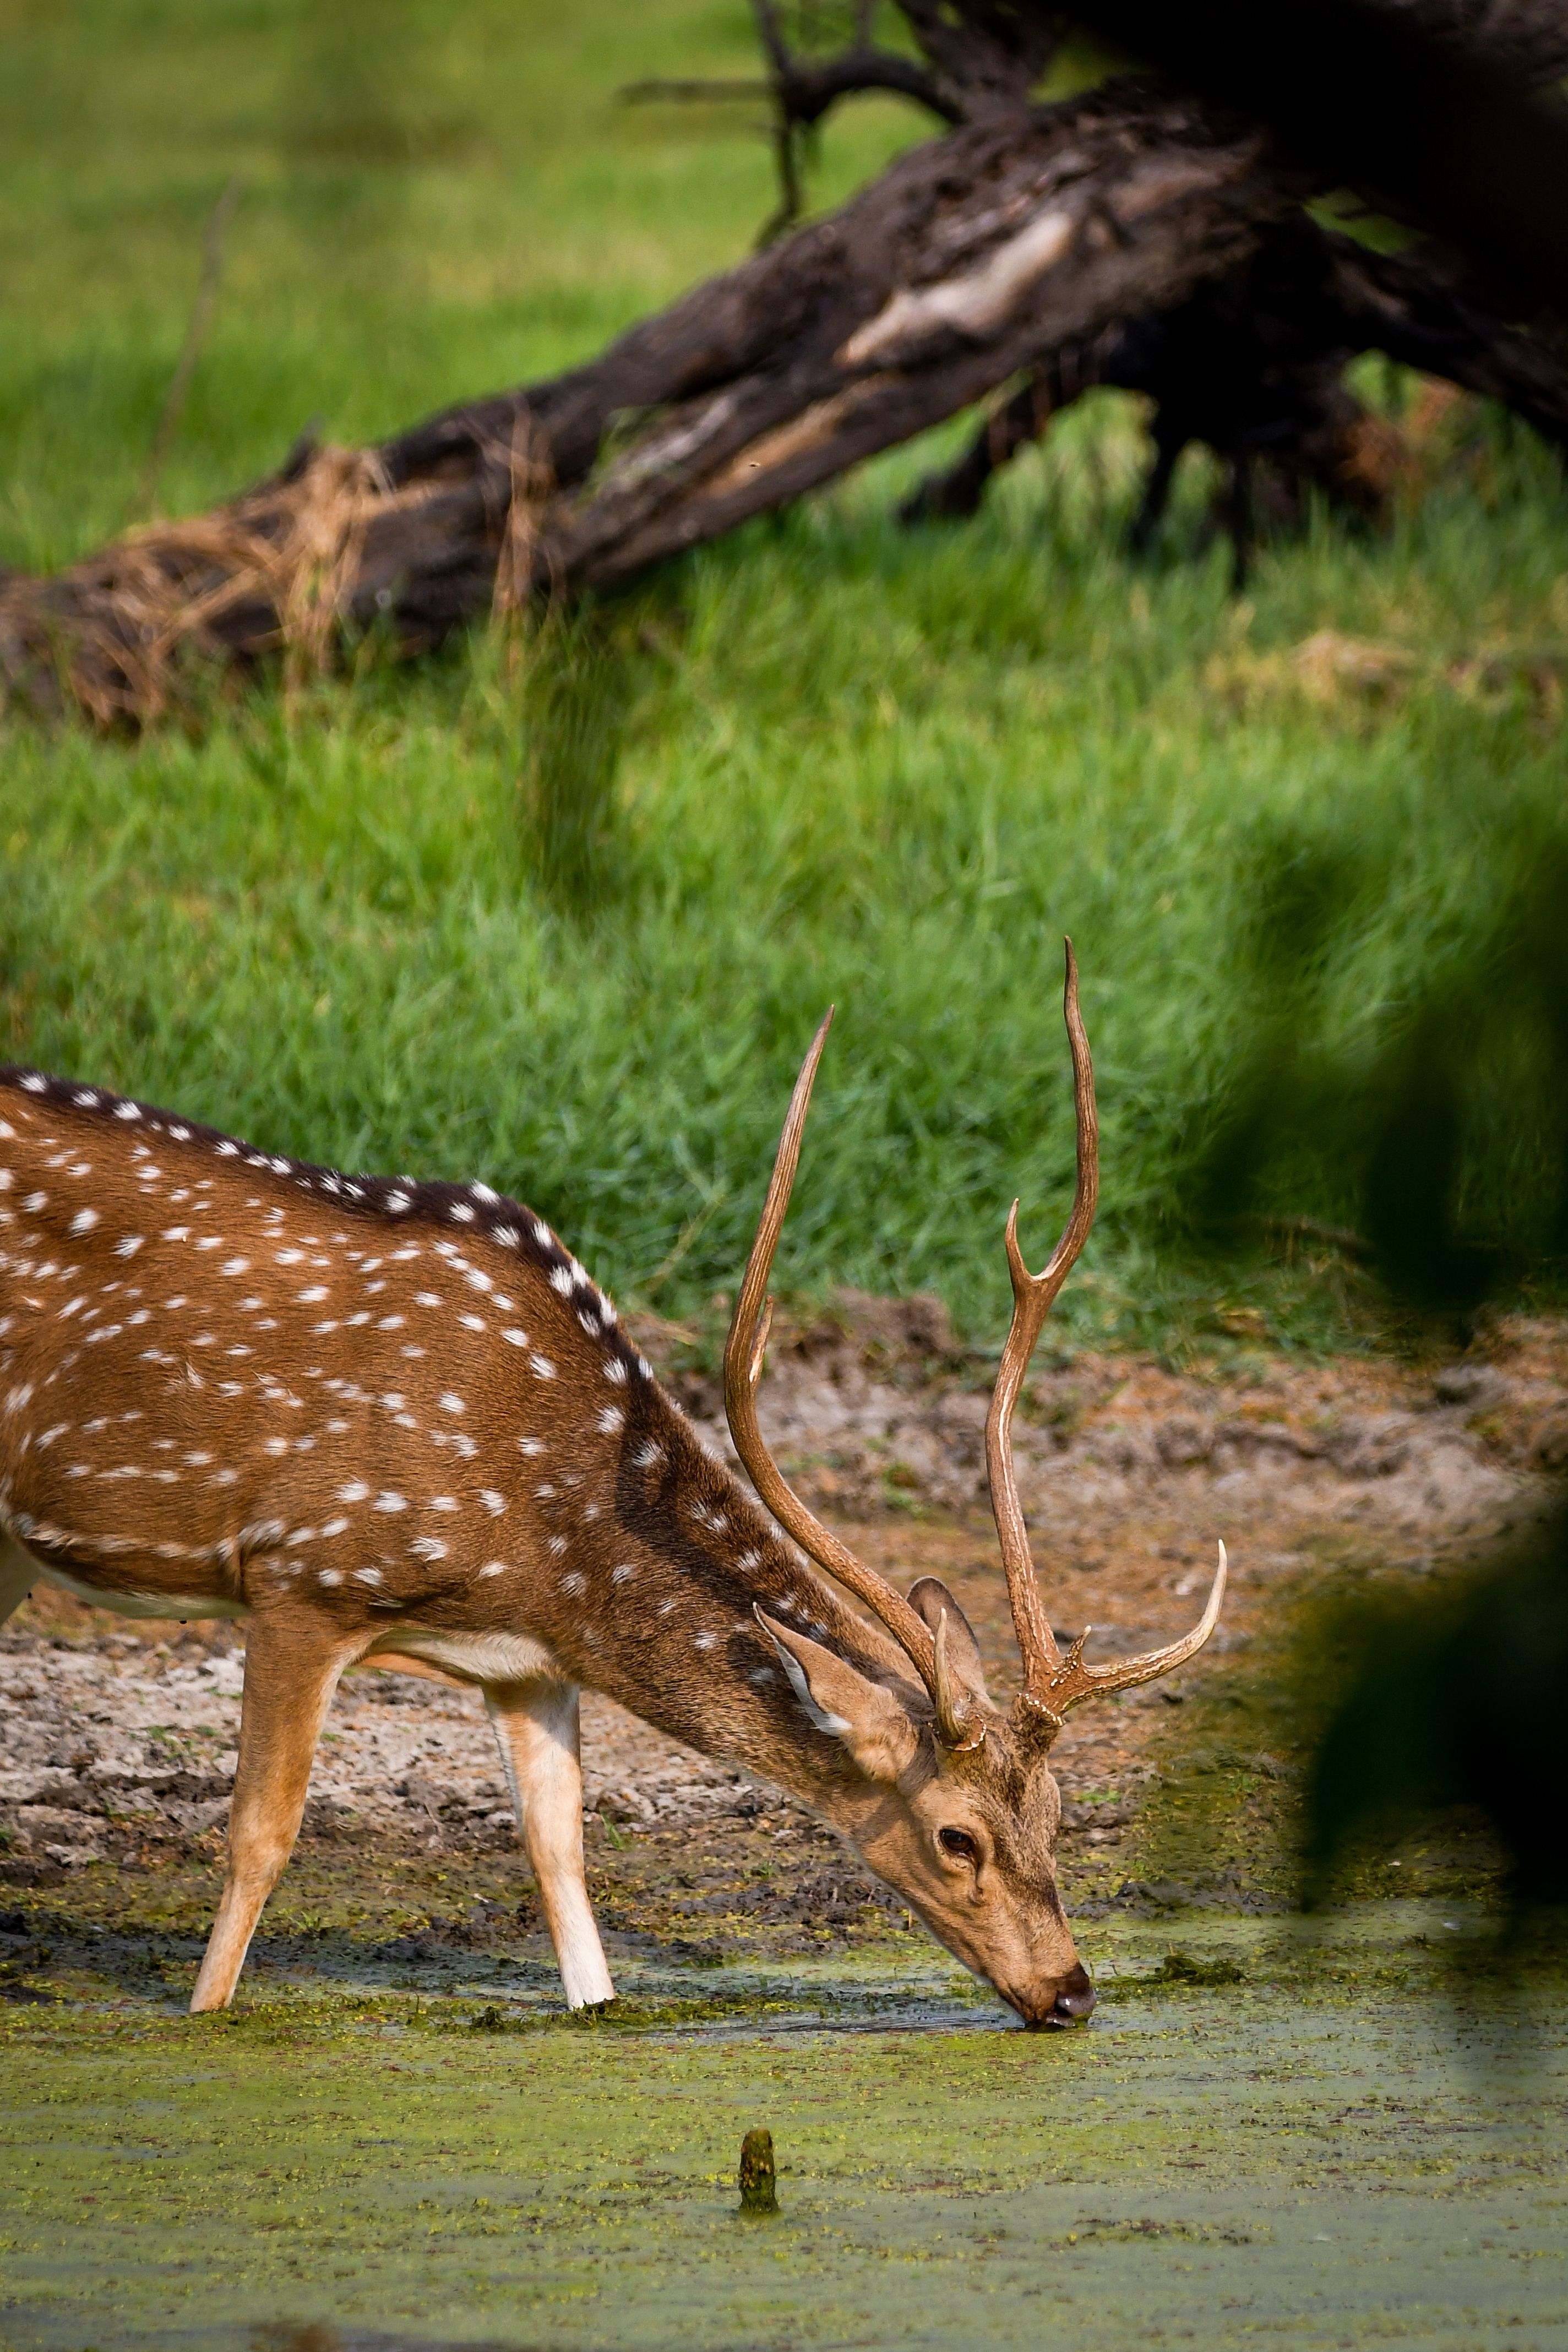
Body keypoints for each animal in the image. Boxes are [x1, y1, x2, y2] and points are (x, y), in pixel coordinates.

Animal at [0, 945, 1224, 2027]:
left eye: (1059, 1811)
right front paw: (203, 2018)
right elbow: (260, 1838)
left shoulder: (528, 1665)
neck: (542, 1538)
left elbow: (563, 1864)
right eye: (954, 1835)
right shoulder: (305, 1569)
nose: (1069, 1991)